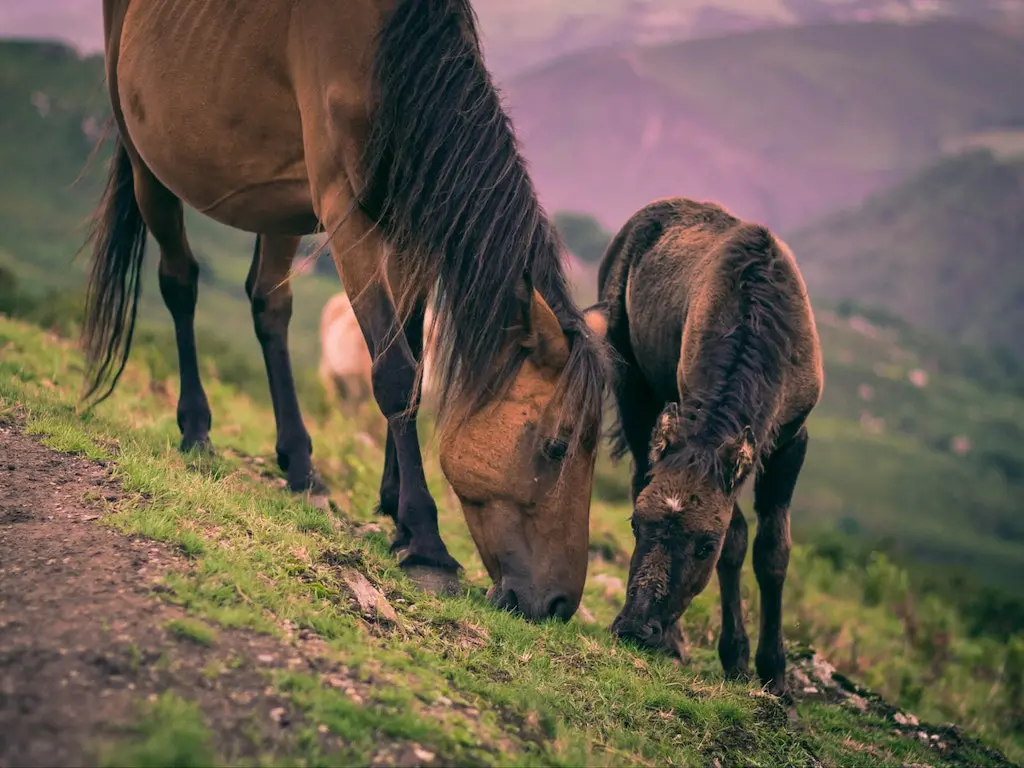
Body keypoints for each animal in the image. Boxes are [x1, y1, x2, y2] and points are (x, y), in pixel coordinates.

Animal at [83, 0, 606, 618]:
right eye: (556, 447)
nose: (558, 605)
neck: (389, 57)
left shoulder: (408, 227)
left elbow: (413, 360)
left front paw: (395, 509)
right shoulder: (346, 216)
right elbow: (397, 374)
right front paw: (425, 542)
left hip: (277, 204)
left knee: (269, 304)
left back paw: (301, 468)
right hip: (149, 166)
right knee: (180, 284)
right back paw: (197, 430)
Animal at [585, 198, 823, 696]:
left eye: (702, 545)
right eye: (635, 525)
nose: (635, 629)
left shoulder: (792, 439)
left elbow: (771, 551)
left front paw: (775, 675)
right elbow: (739, 540)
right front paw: (736, 658)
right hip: (633, 389)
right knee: (639, 470)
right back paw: (675, 643)